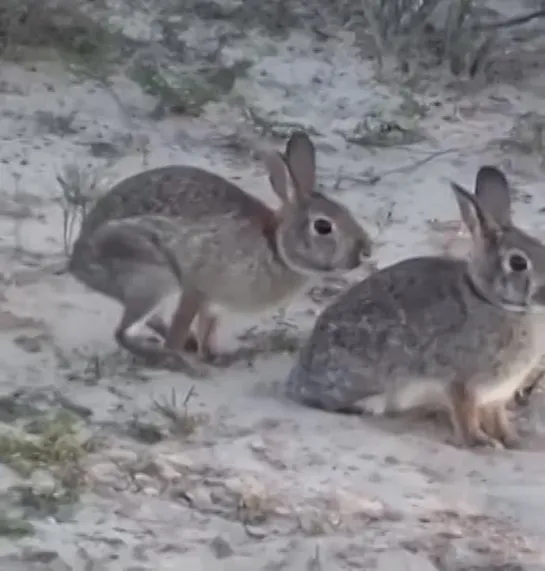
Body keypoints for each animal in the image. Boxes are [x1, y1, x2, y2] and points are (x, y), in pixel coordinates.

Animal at [70, 131, 372, 370]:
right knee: (123, 333)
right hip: (152, 275)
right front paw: (180, 359)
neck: (275, 246)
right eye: (323, 226)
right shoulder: (197, 287)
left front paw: (216, 356)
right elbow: (182, 325)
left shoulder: (214, 304)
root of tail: (79, 263)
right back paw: (174, 360)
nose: (365, 250)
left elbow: (209, 329)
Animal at [282, 165, 544, 452]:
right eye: (518, 263)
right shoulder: (460, 381)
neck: (491, 301)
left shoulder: (496, 394)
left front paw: (513, 440)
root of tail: (298, 383)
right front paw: (481, 442)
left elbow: (498, 418)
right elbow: (465, 414)